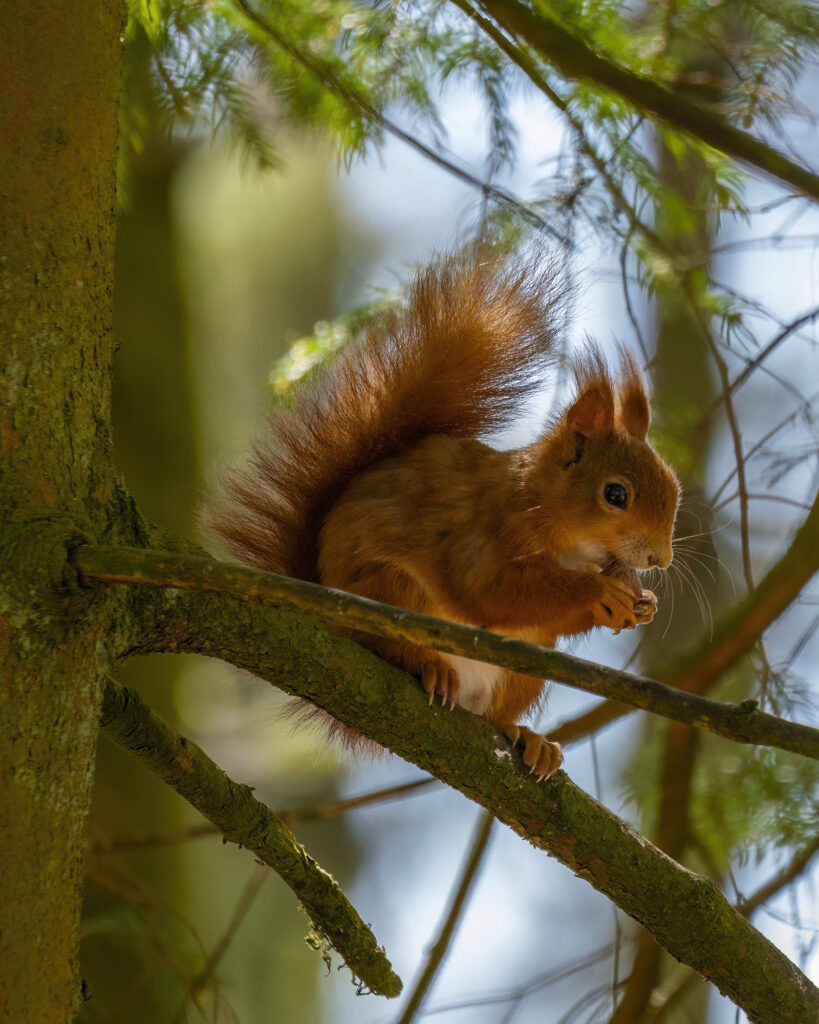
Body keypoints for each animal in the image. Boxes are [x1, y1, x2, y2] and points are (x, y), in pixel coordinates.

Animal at [207, 248, 680, 780]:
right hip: (391, 594)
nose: (660, 560)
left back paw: (529, 739)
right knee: (399, 648)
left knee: (496, 717)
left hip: (526, 667)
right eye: (615, 494)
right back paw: (429, 668)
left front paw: (644, 605)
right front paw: (599, 593)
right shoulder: (484, 530)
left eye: (673, 487)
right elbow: (489, 591)